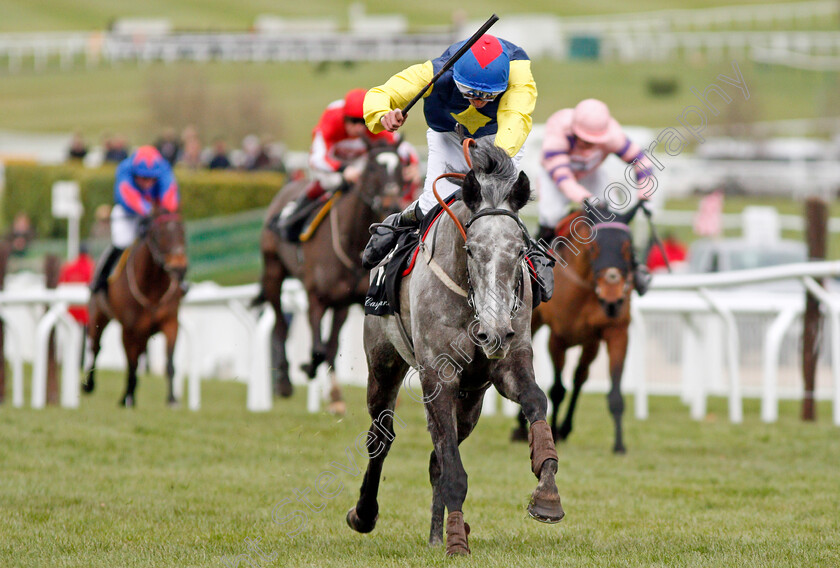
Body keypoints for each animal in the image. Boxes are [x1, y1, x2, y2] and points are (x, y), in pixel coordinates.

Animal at [81, 211, 187, 406]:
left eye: (182, 231)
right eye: (158, 234)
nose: (178, 268)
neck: (153, 289)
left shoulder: (171, 323)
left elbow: (169, 363)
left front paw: (172, 399)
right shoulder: (129, 330)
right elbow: (131, 364)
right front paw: (128, 398)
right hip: (98, 314)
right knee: (95, 347)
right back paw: (89, 385)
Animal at [253, 140, 404, 410]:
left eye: (401, 167)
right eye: (372, 168)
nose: (392, 203)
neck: (351, 239)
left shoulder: (353, 301)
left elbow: (334, 347)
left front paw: (335, 396)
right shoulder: (316, 297)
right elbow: (318, 349)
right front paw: (308, 368)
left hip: (338, 302)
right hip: (273, 271)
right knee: (281, 325)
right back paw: (284, 382)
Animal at [348, 140, 564, 556]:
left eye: (519, 251)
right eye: (471, 248)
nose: (494, 333)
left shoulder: (509, 362)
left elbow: (535, 402)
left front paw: (547, 493)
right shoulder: (439, 375)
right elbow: (453, 468)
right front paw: (456, 544)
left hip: (472, 398)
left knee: (436, 458)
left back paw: (437, 533)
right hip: (382, 364)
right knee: (381, 437)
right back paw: (365, 513)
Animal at [512, 202, 644, 454]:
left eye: (627, 247)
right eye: (593, 247)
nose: (612, 300)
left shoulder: (616, 333)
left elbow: (615, 394)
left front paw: (619, 445)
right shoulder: (558, 338)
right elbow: (556, 389)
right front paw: (551, 433)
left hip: (590, 343)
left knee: (580, 377)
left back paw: (565, 428)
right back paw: (521, 429)